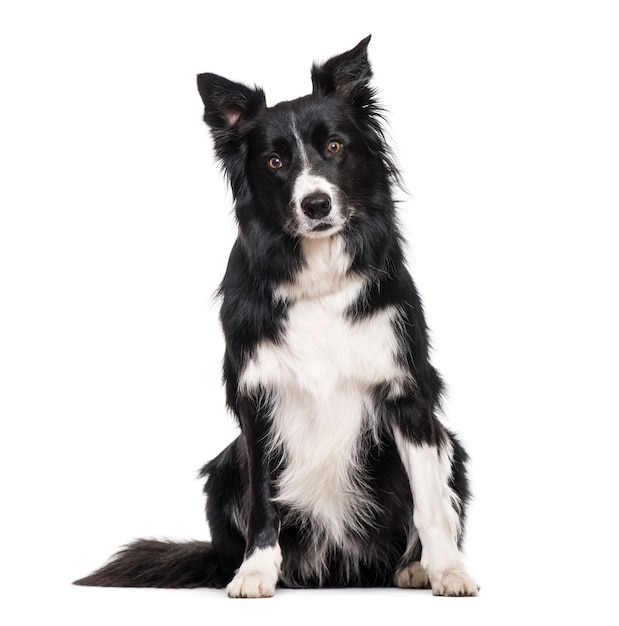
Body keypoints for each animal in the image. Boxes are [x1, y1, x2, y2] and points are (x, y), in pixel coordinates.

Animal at [72, 35, 480, 596]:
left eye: (335, 147)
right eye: (273, 162)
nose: (316, 204)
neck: (318, 280)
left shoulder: (408, 394)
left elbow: (432, 504)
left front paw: (448, 571)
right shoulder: (258, 397)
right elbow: (264, 502)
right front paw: (256, 572)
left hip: (451, 446)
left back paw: (412, 568)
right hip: (224, 467)